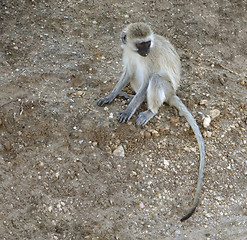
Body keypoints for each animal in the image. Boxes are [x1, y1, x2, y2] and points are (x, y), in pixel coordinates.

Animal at [96, 22, 205, 221]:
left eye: (148, 43)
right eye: (141, 44)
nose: (146, 51)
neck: (138, 53)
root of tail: (172, 93)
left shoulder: (151, 59)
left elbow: (148, 80)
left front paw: (129, 110)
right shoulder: (128, 53)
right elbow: (127, 72)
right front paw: (111, 95)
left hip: (167, 89)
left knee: (154, 79)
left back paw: (149, 111)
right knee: (134, 75)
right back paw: (128, 97)